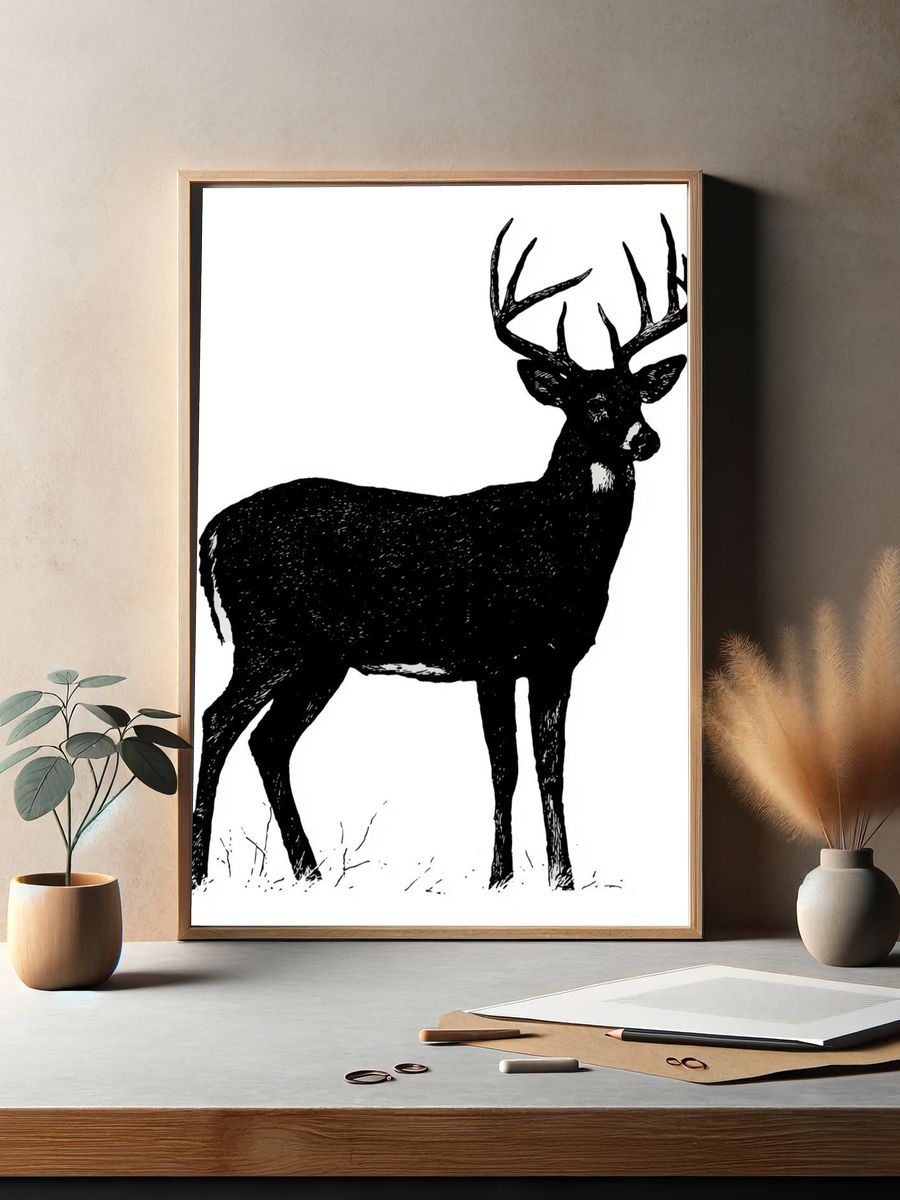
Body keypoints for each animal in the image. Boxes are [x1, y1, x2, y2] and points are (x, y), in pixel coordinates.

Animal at [192, 213, 687, 892]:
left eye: (637, 396)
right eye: (591, 403)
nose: (648, 439)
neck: (557, 548)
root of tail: (214, 528)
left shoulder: (557, 660)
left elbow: (553, 767)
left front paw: (562, 881)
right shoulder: (494, 654)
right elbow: (505, 766)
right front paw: (499, 880)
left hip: (320, 658)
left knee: (268, 742)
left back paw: (310, 874)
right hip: (269, 637)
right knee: (219, 722)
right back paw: (202, 875)